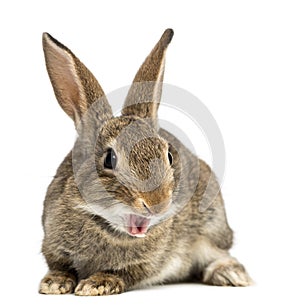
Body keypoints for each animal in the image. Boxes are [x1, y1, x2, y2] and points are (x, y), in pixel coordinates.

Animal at [38, 28, 252, 296]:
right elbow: (59, 266)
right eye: (109, 159)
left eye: (168, 156)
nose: (158, 203)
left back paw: (231, 275)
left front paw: (95, 284)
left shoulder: (147, 263)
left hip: (213, 227)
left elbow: (123, 273)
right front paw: (54, 283)